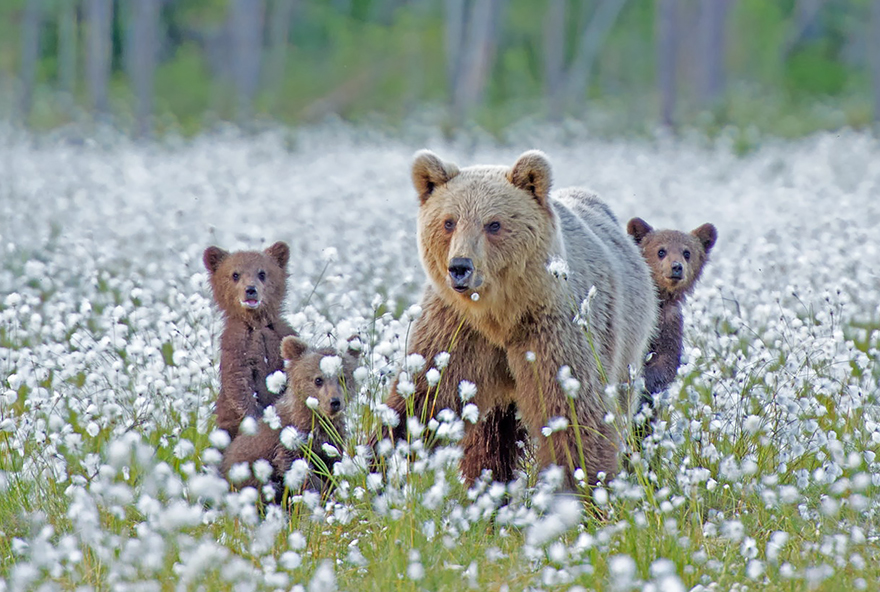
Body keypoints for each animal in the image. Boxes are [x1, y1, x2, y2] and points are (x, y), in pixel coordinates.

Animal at [203, 240, 296, 440]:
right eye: (235, 274)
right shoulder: (237, 347)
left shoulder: (279, 337)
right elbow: (238, 385)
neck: (257, 324)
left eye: (262, 273)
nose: (250, 290)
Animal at [220, 336, 360, 498]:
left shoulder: (332, 440)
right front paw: (321, 491)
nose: (334, 402)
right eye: (318, 379)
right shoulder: (288, 441)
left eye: (343, 378)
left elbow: (332, 464)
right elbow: (296, 468)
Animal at [382, 150, 656, 488]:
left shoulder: (553, 331)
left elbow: (573, 414)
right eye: (449, 222)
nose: (460, 267)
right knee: (491, 439)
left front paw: (583, 485)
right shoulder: (456, 329)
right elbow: (423, 397)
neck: (501, 315)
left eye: (493, 224)